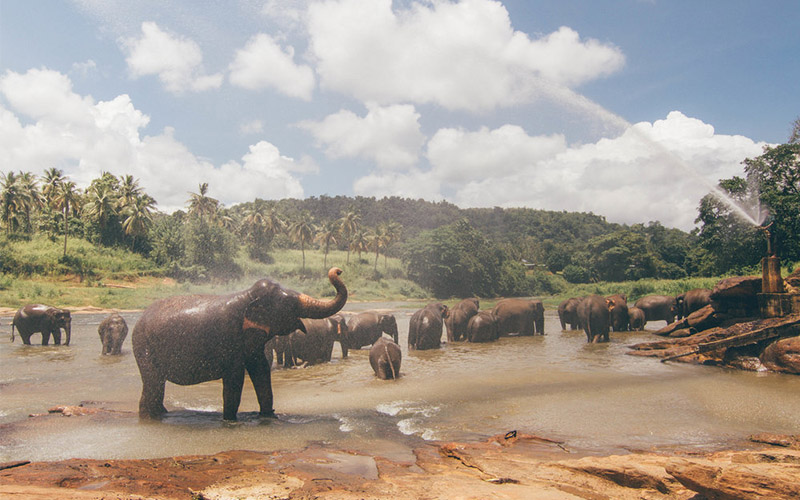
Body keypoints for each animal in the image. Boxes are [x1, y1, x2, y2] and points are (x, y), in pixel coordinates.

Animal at [131, 268, 346, 420]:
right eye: (288, 305)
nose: (338, 270)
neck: (247, 296)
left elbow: (261, 370)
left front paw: (269, 417)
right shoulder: (229, 339)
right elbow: (234, 379)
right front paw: (230, 421)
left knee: (156, 385)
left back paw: (162, 414)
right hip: (144, 348)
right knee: (153, 384)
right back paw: (150, 418)